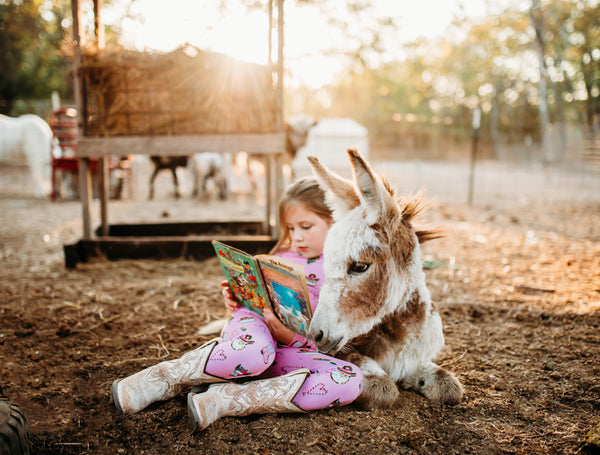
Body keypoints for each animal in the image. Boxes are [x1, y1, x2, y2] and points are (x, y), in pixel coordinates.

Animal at [308, 149, 462, 410]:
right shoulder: (345, 352)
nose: (315, 335)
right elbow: (382, 388)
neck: (398, 336)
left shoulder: (415, 358)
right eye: (325, 263)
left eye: (360, 266)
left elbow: (449, 387)